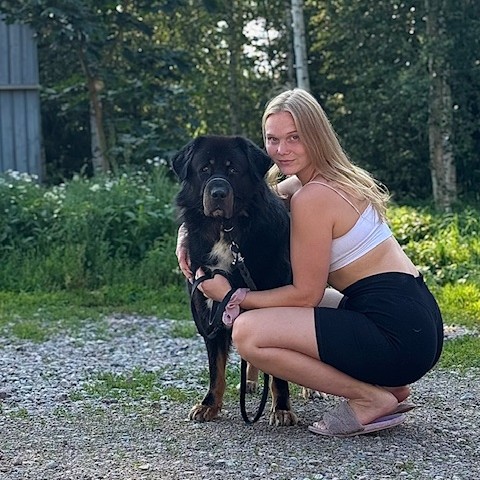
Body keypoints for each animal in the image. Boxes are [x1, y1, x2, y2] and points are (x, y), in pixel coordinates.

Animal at [172, 135, 298, 426]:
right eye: (204, 169)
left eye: (233, 170)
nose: (218, 193)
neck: (225, 231)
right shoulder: (208, 309)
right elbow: (215, 368)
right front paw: (209, 404)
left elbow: (279, 374)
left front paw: (282, 408)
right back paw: (249, 383)